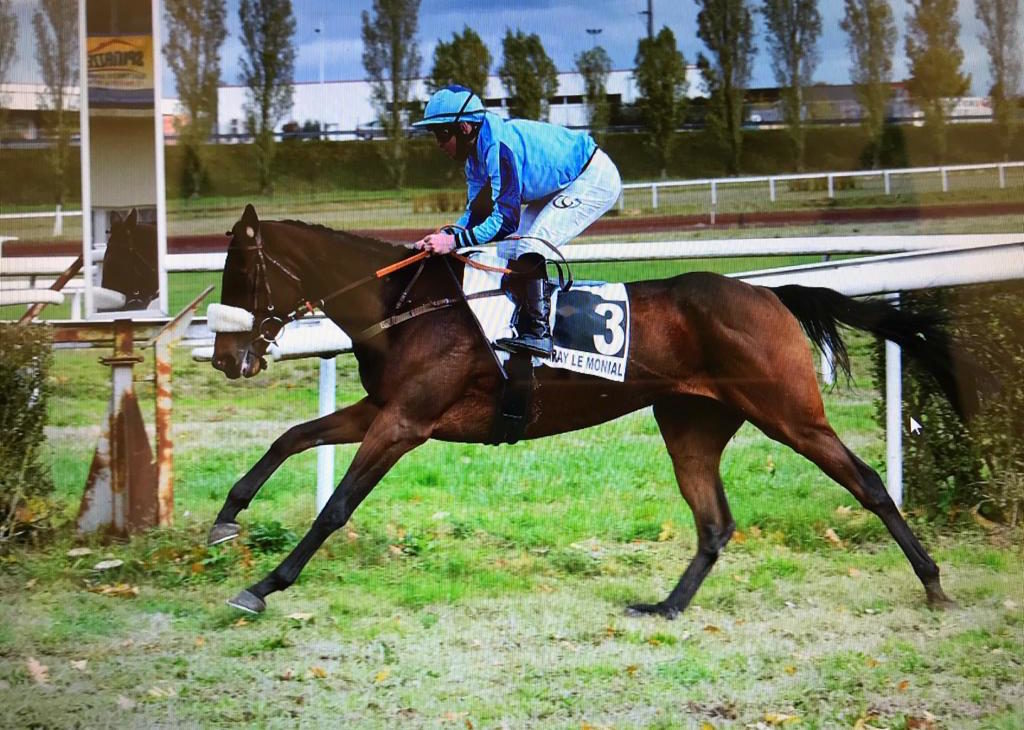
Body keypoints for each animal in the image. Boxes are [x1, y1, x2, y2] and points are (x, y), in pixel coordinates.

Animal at [205, 203, 983, 614]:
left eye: (240, 273)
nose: (223, 358)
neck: (407, 306)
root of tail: (769, 292)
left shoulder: (406, 423)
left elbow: (336, 506)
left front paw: (264, 585)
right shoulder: (384, 408)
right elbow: (289, 438)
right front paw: (225, 518)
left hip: (790, 413)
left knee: (869, 484)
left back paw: (935, 585)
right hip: (691, 424)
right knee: (714, 521)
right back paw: (666, 606)